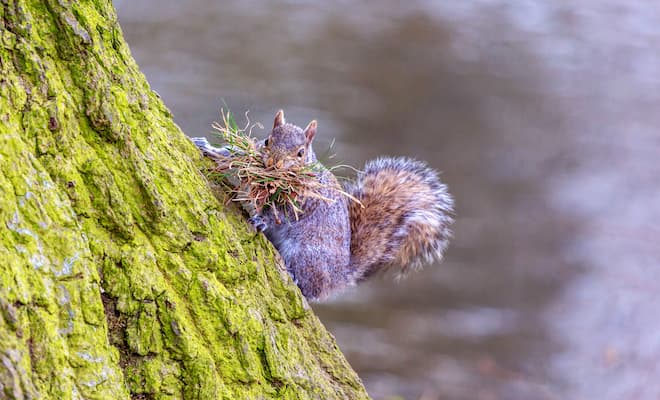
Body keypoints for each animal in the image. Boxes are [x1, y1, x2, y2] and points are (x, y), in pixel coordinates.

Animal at [191, 110, 454, 301]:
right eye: (267, 140)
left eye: (300, 153)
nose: (274, 164)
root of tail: (339, 275)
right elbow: (233, 157)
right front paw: (206, 146)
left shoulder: (305, 200)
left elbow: (282, 213)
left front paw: (261, 219)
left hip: (308, 255)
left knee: (311, 289)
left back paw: (297, 279)